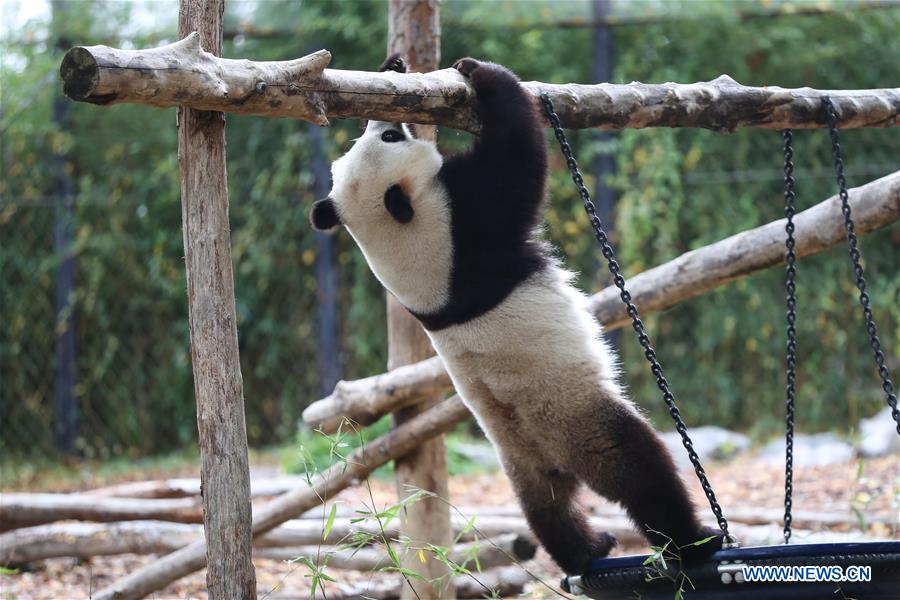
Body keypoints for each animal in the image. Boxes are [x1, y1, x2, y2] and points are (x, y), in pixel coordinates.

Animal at [310, 55, 722, 574]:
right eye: (389, 138)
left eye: (376, 136)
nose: (383, 123)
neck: (392, 237)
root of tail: (554, 458)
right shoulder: (459, 229)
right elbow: (518, 165)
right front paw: (483, 74)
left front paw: (394, 66)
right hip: (580, 423)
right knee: (641, 472)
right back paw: (694, 542)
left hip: (519, 458)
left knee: (545, 509)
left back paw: (586, 551)